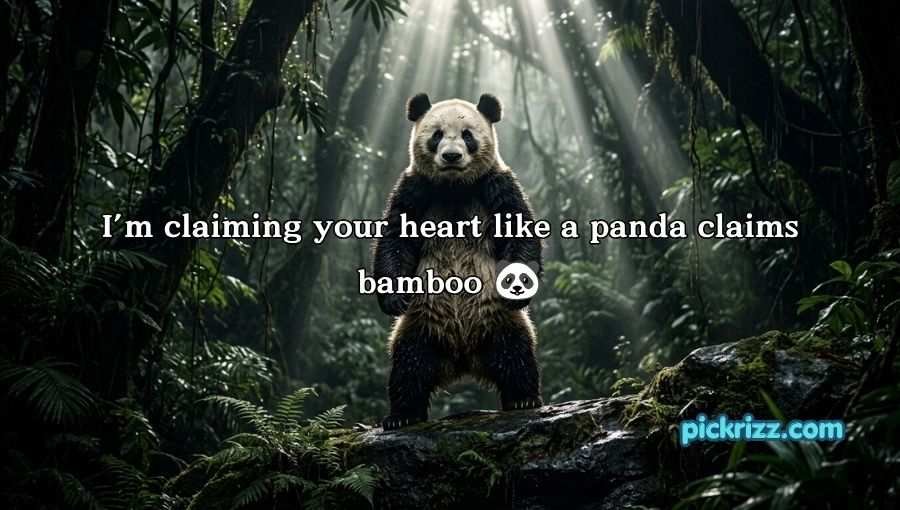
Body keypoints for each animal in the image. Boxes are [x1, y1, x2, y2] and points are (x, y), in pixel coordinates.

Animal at [372, 93, 544, 430]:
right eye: (437, 135)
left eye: (468, 135)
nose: (451, 156)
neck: (454, 187)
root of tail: (463, 357)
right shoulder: (416, 188)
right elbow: (395, 239)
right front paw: (394, 298)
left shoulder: (495, 183)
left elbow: (519, 228)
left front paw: (519, 289)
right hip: (421, 324)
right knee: (409, 366)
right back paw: (402, 416)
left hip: (500, 320)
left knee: (516, 354)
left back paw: (524, 399)